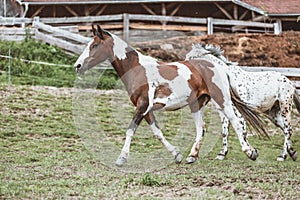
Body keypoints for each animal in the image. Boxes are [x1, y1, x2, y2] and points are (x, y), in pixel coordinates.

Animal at [75, 25, 268, 166]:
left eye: (94, 45)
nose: (78, 66)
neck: (138, 69)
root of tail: (218, 65)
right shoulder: (146, 109)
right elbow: (158, 132)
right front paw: (177, 155)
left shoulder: (142, 106)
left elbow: (130, 130)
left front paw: (121, 159)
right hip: (197, 104)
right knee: (202, 128)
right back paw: (192, 156)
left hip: (222, 100)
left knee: (235, 121)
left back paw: (250, 152)